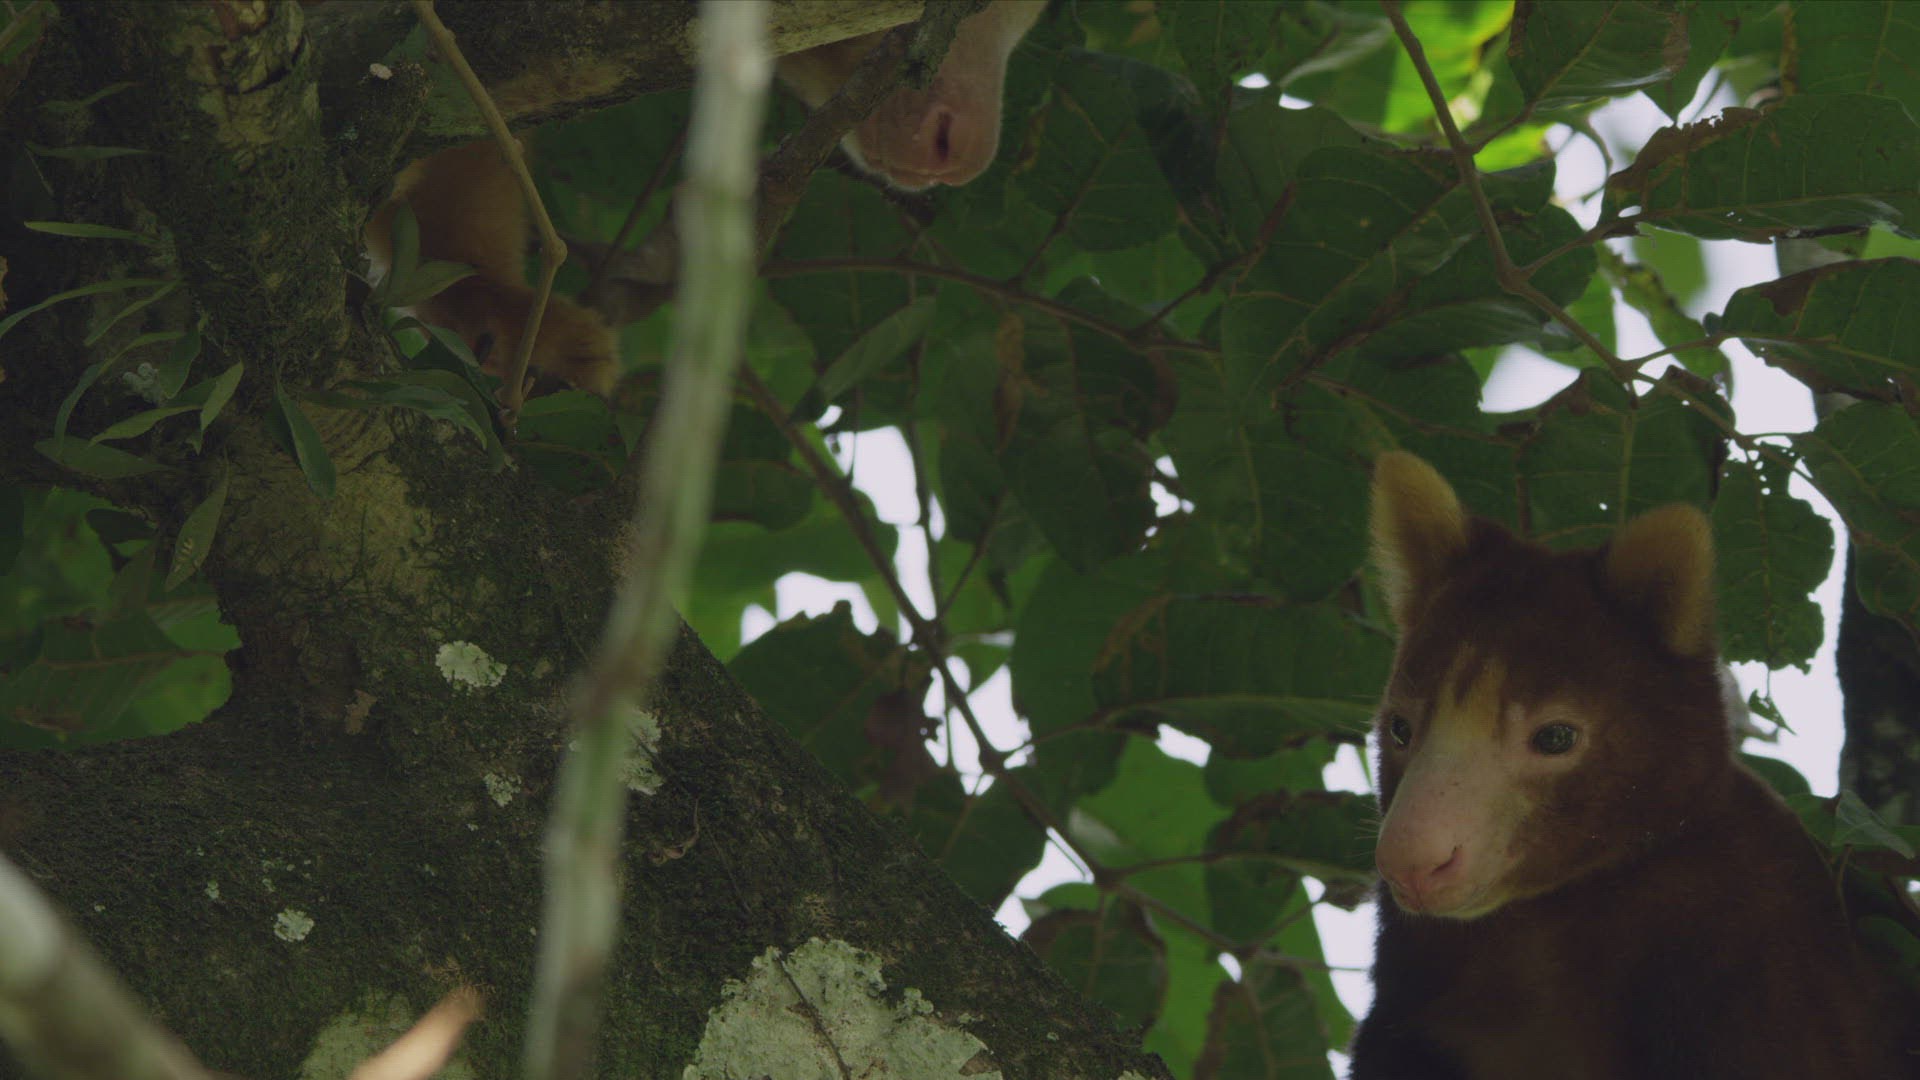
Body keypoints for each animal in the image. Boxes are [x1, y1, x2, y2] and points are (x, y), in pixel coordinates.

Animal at [1349, 452, 1920, 1080]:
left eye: (1555, 737)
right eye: (1400, 728)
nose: (1411, 864)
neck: (1545, 920)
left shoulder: (1766, 958)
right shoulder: (1421, 985)